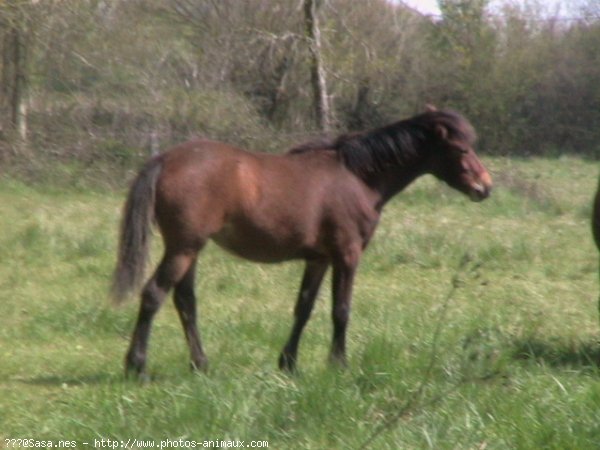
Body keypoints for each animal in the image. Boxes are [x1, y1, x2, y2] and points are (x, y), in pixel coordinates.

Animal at [112, 106, 492, 376]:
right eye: (462, 149)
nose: (485, 187)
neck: (357, 177)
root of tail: (165, 158)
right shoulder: (347, 255)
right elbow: (341, 310)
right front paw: (338, 365)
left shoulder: (318, 258)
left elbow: (304, 308)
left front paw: (288, 363)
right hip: (183, 248)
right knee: (153, 295)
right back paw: (137, 366)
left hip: (189, 250)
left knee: (185, 302)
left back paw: (200, 365)